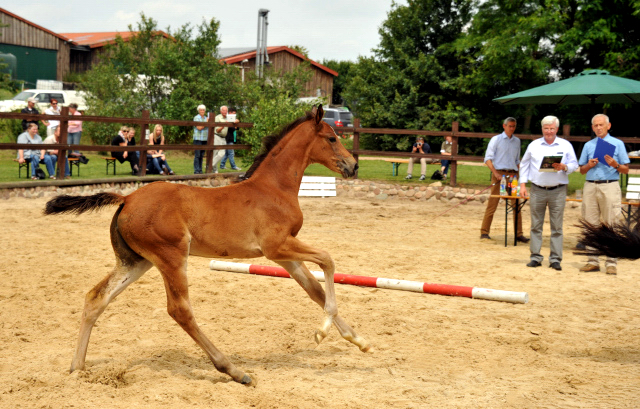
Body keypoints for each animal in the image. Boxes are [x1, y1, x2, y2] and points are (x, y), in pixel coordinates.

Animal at [45, 106, 370, 386]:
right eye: (332, 138)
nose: (353, 165)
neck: (273, 189)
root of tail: (126, 198)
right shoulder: (277, 247)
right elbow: (328, 260)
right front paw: (322, 332)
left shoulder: (283, 255)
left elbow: (314, 290)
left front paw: (359, 340)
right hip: (171, 256)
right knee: (180, 310)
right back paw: (234, 370)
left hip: (136, 261)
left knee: (96, 297)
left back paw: (77, 368)